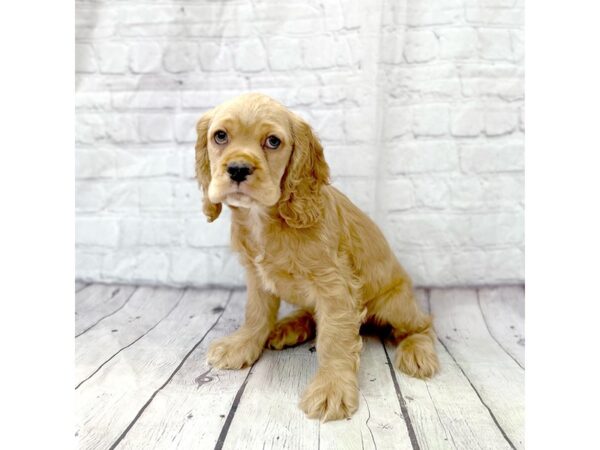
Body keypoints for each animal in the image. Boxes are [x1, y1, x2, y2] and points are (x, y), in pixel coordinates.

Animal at [197, 92, 440, 422]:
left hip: (395, 305)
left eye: (273, 141)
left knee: (422, 325)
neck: (266, 219)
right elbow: (256, 314)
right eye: (220, 136)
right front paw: (241, 344)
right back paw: (289, 326)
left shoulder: (335, 287)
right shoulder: (257, 277)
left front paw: (331, 388)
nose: (237, 169)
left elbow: (334, 339)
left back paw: (418, 350)